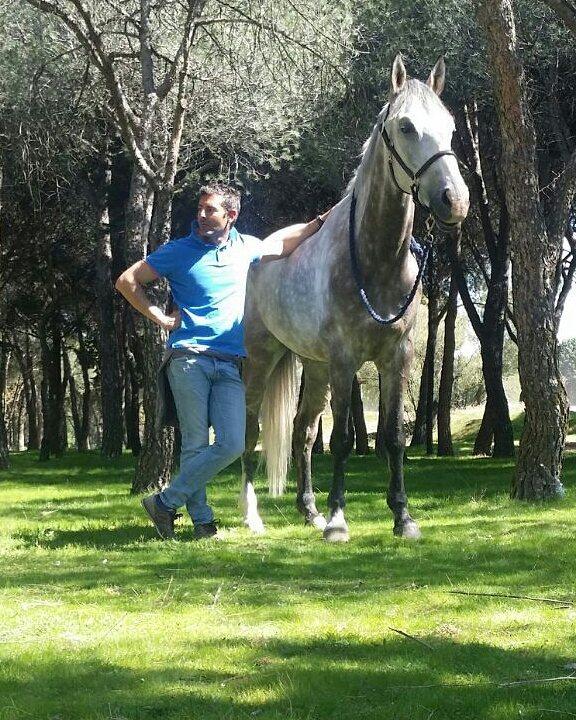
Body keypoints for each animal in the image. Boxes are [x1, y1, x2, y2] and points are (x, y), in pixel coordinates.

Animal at [240, 55, 469, 541]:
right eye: (405, 126)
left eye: (451, 126)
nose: (454, 201)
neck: (374, 260)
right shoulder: (346, 360)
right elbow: (344, 439)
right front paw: (338, 521)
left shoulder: (396, 358)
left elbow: (392, 437)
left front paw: (403, 517)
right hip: (263, 359)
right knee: (251, 431)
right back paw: (254, 516)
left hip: (314, 367)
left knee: (303, 432)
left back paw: (308, 510)